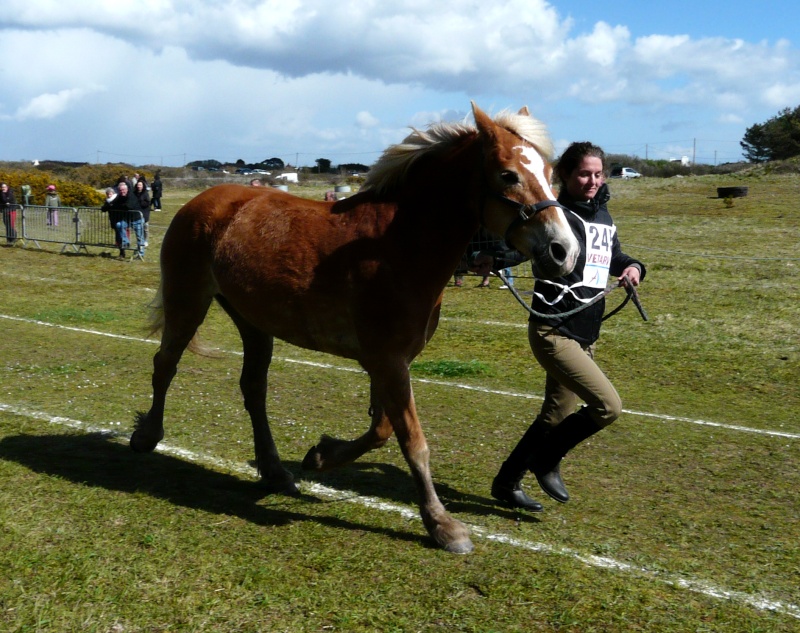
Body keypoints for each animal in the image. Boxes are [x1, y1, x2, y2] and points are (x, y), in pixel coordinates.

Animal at [134, 103, 580, 552]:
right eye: (508, 175)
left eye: (550, 171)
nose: (565, 250)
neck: (396, 246)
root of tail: (204, 201)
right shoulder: (387, 360)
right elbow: (412, 441)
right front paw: (441, 524)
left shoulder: (390, 361)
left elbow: (381, 429)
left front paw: (321, 455)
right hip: (187, 303)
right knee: (165, 365)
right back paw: (147, 435)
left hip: (254, 322)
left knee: (253, 390)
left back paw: (275, 471)